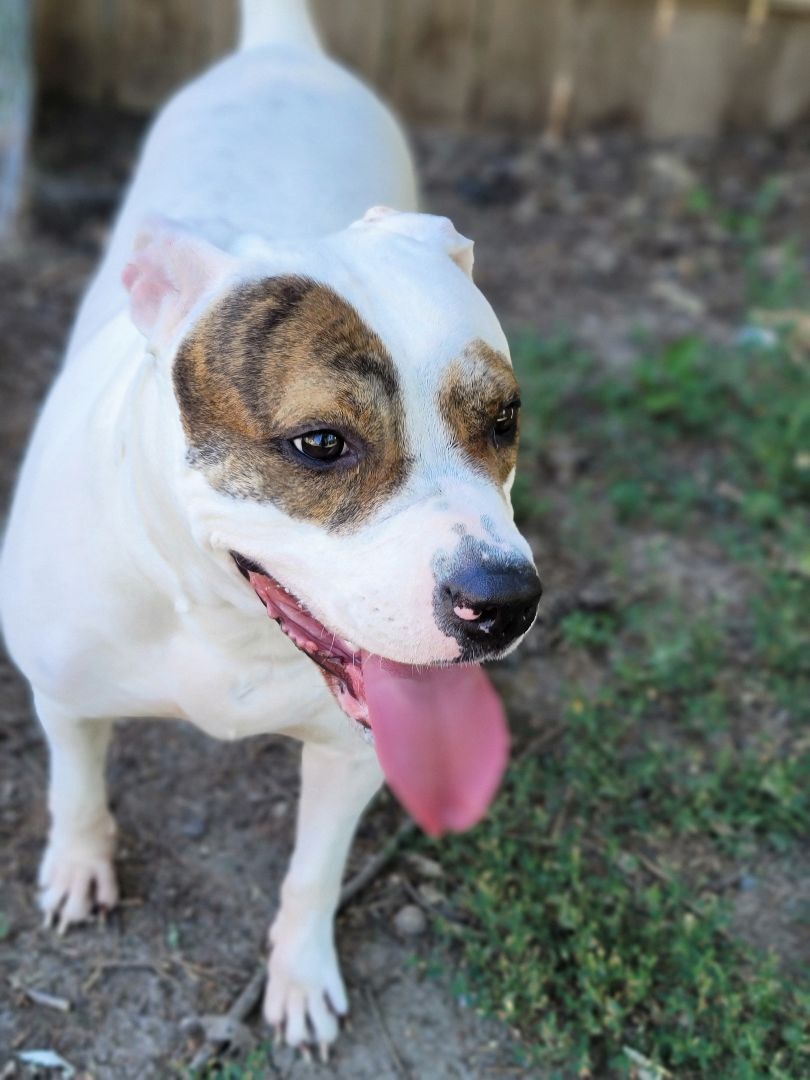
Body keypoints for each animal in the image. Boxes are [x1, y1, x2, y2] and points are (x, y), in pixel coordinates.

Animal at [1, 0, 546, 1049]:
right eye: (321, 443)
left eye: (503, 420)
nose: (503, 601)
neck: (221, 622)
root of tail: (279, 51)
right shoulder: (64, 691)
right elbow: (74, 785)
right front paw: (80, 864)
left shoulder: (356, 753)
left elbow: (312, 873)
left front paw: (299, 973)